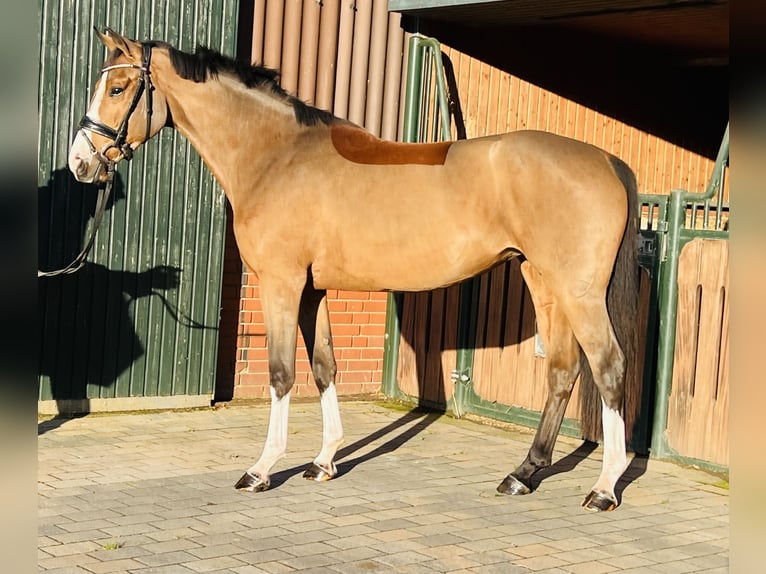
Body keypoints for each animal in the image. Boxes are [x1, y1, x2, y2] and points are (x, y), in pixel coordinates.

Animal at [68, 28, 640, 512]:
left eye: (117, 87)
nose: (80, 163)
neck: (276, 156)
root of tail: (608, 161)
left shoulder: (281, 283)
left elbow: (281, 373)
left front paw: (261, 470)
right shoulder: (312, 291)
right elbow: (324, 368)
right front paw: (323, 462)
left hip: (579, 292)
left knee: (609, 368)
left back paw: (604, 488)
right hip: (543, 282)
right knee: (563, 371)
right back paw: (523, 474)